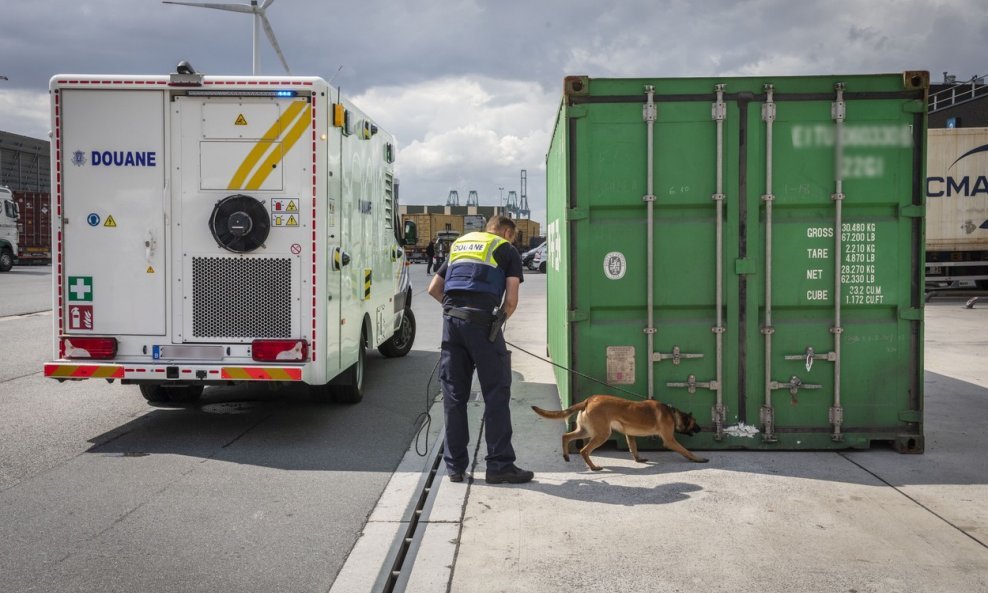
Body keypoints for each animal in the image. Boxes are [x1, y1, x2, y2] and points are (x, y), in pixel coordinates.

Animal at [532, 394, 712, 472]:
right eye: (694, 423)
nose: (701, 429)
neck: (672, 414)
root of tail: (589, 400)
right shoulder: (669, 440)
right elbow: (685, 451)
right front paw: (698, 459)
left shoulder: (629, 435)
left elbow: (633, 448)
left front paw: (638, 459)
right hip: (601, 435)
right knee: (584, 450)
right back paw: (593, 467)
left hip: (586, 431)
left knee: (566, 436)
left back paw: (566, 455)